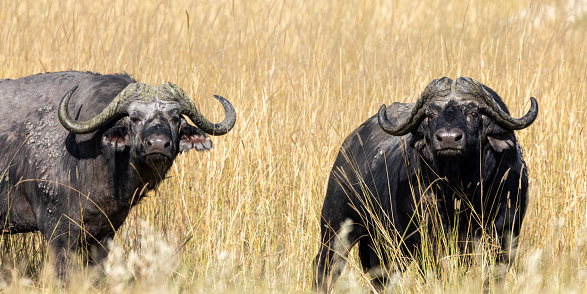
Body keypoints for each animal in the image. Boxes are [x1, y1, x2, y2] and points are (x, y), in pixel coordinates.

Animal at [314, 76, 540, 292]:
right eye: (431, 114)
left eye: (473, 113)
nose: (448, 139)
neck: (462, 193)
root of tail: (348, 147)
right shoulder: (430, 241)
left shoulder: (504, 236)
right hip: (336, 230)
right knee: (326, 268)